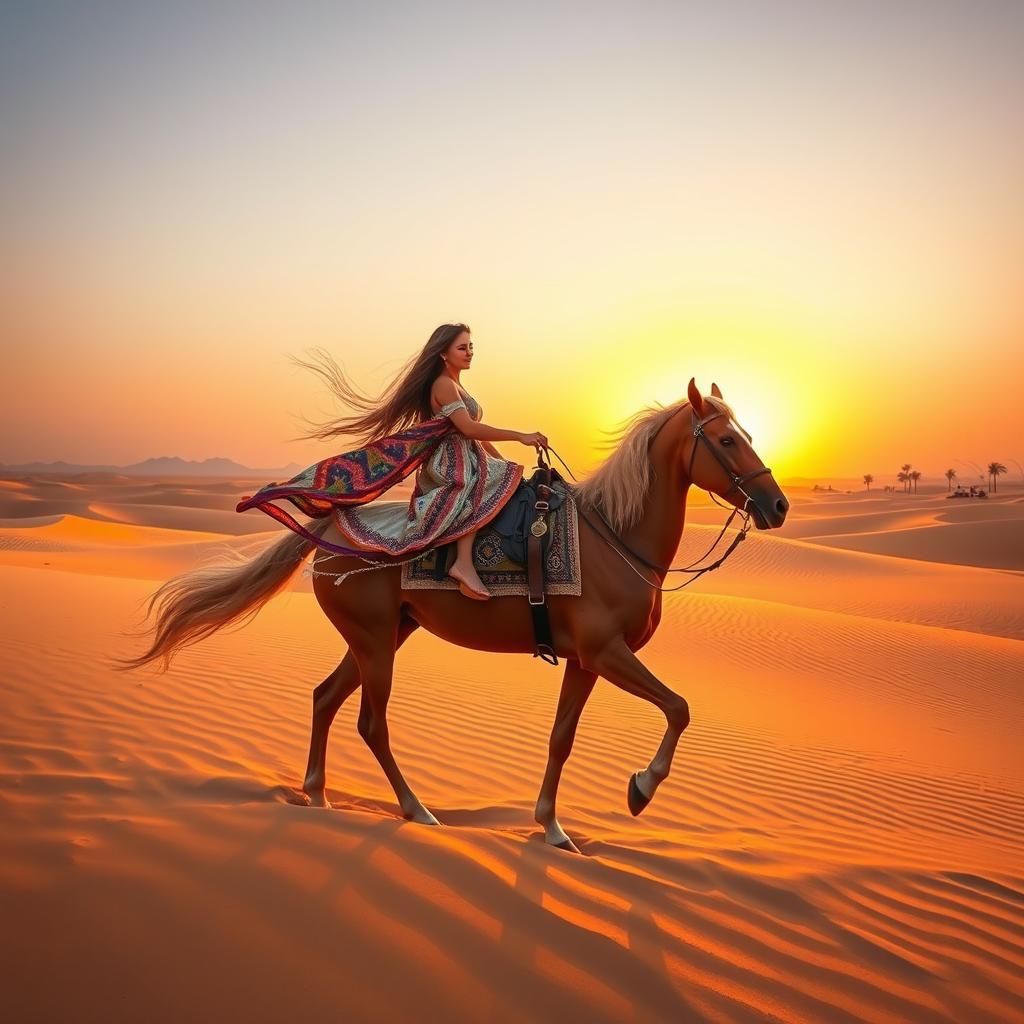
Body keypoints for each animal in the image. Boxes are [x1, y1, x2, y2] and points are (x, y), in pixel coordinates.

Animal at [115, 378, 789, 853]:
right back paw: (416, 809)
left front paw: (553, 829)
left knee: (324, 697)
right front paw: (640, 790)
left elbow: (562, 738)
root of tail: (330, 528)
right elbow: (679, 707)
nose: (777, 505)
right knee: (370, 723)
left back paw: (318, 796)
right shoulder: (607, 652)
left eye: (749, 435)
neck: (614, 536)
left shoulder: (585, 662)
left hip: (381, 637)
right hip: (375, 644)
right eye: (727, 441)